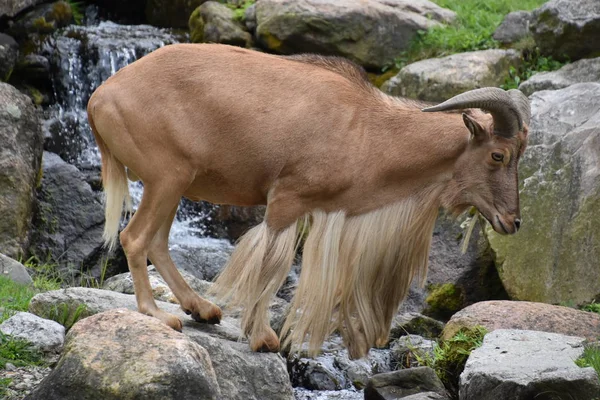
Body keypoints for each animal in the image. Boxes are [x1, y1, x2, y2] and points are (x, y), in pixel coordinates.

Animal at [88, 43, 528, 360]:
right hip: (166, 177)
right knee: (134, 237)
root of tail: (99, 98)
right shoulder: (287, 200)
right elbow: (271, 267)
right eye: (498, 155)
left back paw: (202, 308)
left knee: (158, 242)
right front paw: (264, 338)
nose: (512, 222)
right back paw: (158, 314)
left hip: (175, 184)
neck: (367, 129)